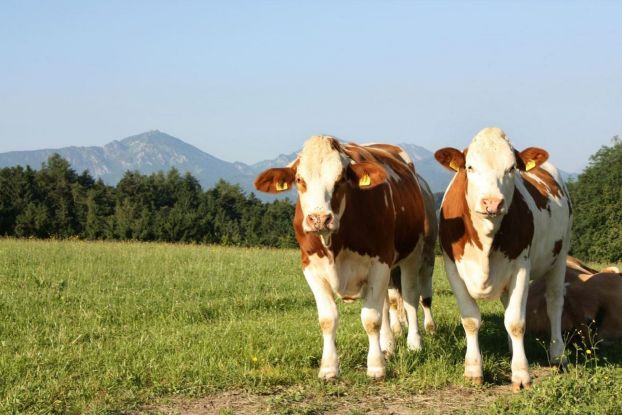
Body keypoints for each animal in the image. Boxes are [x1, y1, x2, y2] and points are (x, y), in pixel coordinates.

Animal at [254, 136, 438, 380]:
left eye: (341, 179)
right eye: (299, 179)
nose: (319, 219)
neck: (335, 244)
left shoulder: (380, 262)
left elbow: (371, 319)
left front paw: (376, 366)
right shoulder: (311, 268)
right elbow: (328, 319)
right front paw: (329, 367)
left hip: (413, 254)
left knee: (409, 298)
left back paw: (414, 344)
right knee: (387, 304)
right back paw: (388, 345)